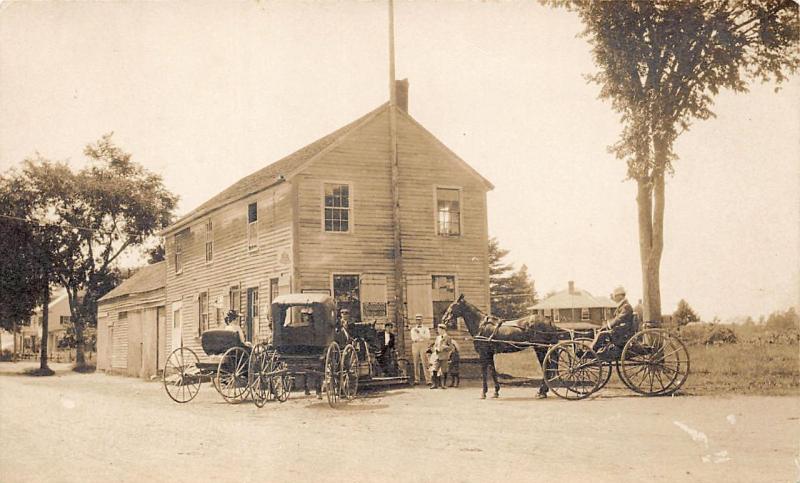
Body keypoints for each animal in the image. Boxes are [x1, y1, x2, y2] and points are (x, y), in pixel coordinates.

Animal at [438, 294, 568, 400]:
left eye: (453, 305)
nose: (444, 319)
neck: (481, 325)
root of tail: (549, 321)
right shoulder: (489, 354)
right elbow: (492, 371)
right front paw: (495, 392)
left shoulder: (483, 354)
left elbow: (484, 372)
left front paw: (483, 393)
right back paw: (543, 392)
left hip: (540, 349)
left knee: (546, 368)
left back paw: (541, 392)